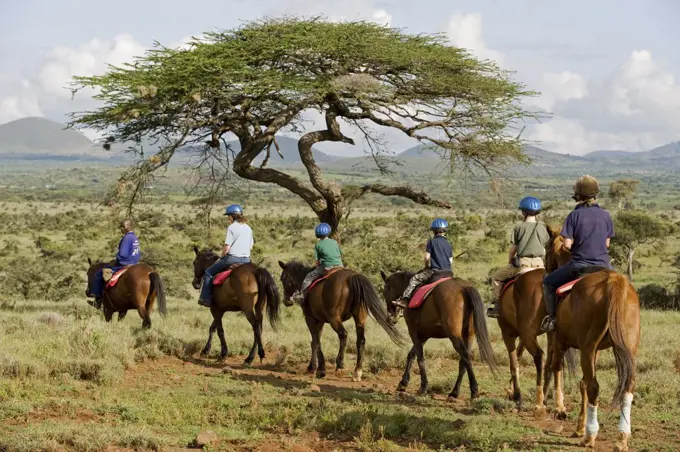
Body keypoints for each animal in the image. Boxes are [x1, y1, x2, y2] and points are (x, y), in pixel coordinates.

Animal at [276, 262, 404, 382]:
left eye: (282, 279)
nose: (286, 300)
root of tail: (352, 277)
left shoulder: (310, 318)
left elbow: (316, 341)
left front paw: (320, 369)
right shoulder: (320, 320)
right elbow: (314, 342)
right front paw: (312, 367)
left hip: (334, 318)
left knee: (343, 335)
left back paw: (340, 366)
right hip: (360, 318)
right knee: (361, 340)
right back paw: (357, 372)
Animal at [380, 270, 496, 398]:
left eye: (385, 291)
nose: (390, 318)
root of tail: (464, 288)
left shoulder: (413, 331)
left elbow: (420, 358)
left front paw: (423, 387)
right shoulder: (424, 335)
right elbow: (411, 355)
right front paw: (403, 383)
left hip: (454, 335)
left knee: (465, 356)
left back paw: (474, 390)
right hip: (469, 335)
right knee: (464, 361)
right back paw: (455, 392)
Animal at [544, 231, 640, 450]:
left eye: (546, 247)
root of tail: (613, 281)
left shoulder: (560, 342)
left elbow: (558, 370)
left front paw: (563, 411)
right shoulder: (591, 351)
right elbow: (582, 384)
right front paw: (579, 426)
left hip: (586, 348)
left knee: (594, 386)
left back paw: (590, 436)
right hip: (626, 348)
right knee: (626, 387)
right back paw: (622, 437)